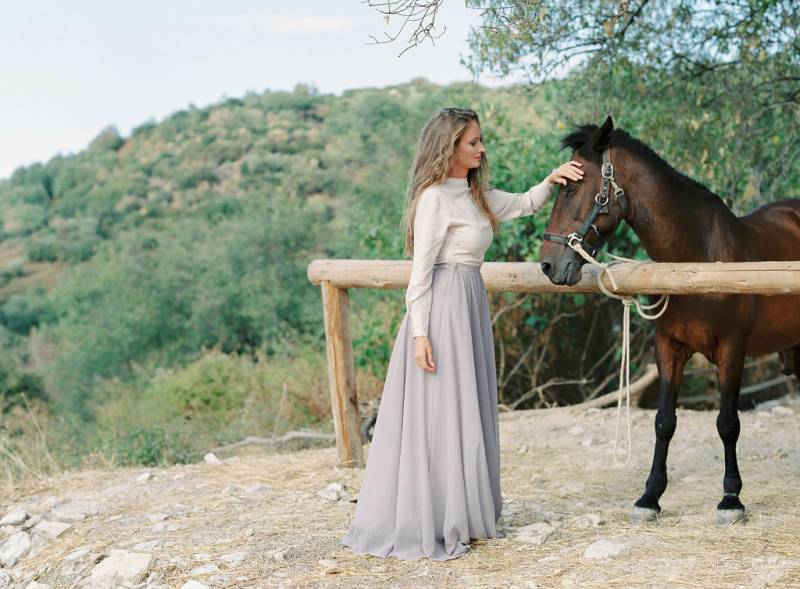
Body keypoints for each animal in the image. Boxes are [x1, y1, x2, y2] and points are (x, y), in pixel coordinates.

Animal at [536, 117, 800, 520]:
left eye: (574, 186)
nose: (549, 265)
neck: (696, 262)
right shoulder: (668, 348)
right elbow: (664, 421)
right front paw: (650, 496)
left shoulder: (731, 351)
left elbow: (727, 423)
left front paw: (731, 497)